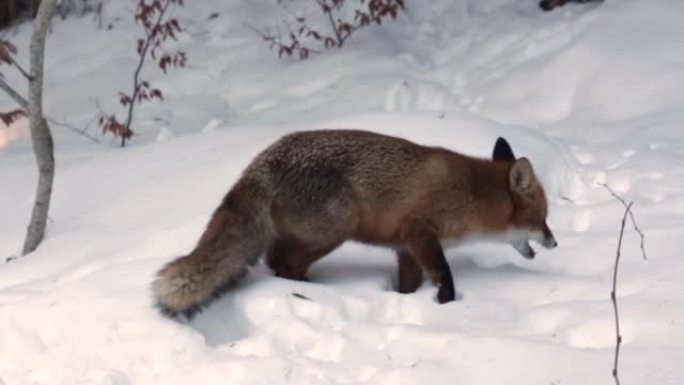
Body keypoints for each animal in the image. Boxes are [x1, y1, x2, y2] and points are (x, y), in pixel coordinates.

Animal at [152, 129, 560, 316]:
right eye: (542, 219)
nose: (555, 242)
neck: (469, 193)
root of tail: (259, 164)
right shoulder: (420, 232)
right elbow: (445, 274)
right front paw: (447, 303)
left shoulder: (406, 247)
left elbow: (407, 285)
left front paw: (407, 303)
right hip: (337, 227)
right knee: (281, 262)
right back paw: (313, 290)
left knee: (274, 259)